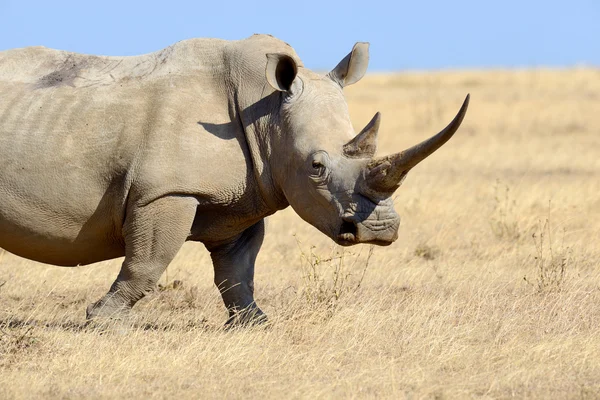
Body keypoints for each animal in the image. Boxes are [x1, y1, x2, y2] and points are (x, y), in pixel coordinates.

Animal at [0, 33, 468, 322]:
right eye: (316, 168)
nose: (381, 232)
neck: (266, 112)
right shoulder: (165, 191)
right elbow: (148, 262)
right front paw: (103, 322)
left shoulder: (243, 197)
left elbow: (238, 270)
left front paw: (254, 323)